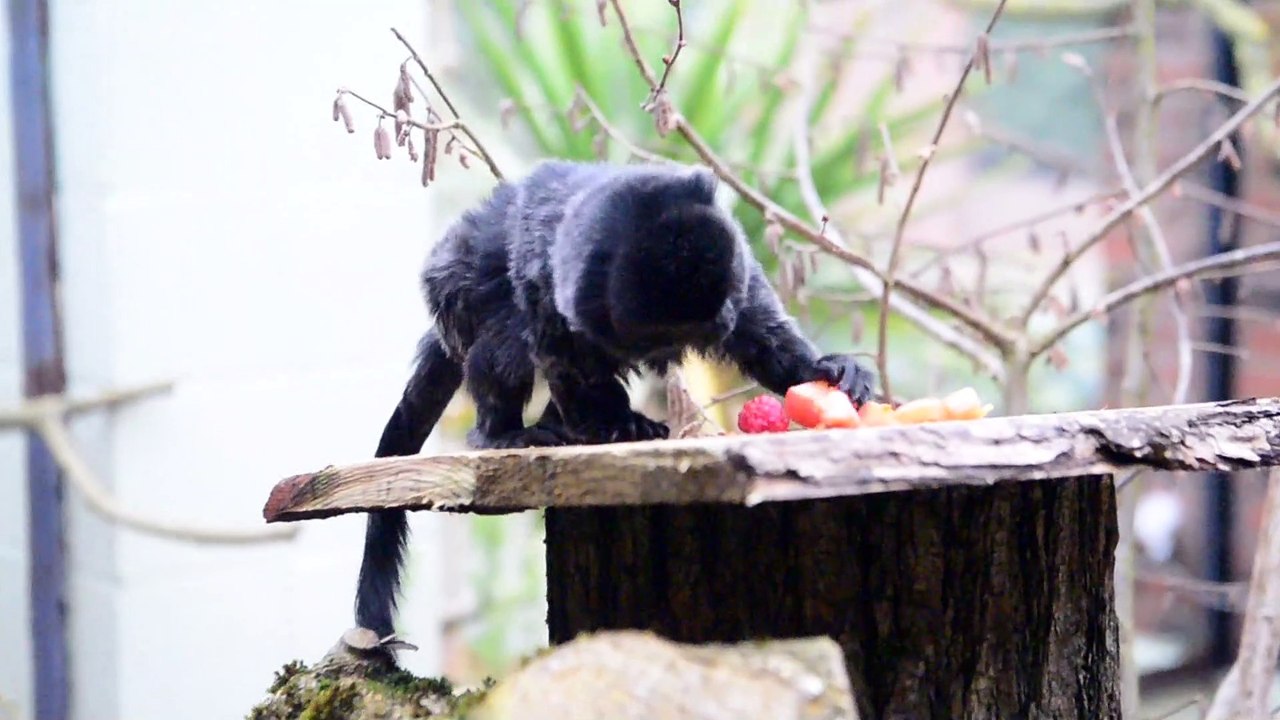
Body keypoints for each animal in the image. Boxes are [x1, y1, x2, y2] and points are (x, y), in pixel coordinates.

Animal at [353, 160, 875, 649]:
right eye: (667, 329)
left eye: (719, 304)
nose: (712, 323)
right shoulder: (560, 285)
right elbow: (562, 353)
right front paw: (617, 426)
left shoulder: (738, 267)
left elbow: (761, 332)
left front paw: (825, 371)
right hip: (452, 292)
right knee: (504, 333)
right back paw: (502, 432)